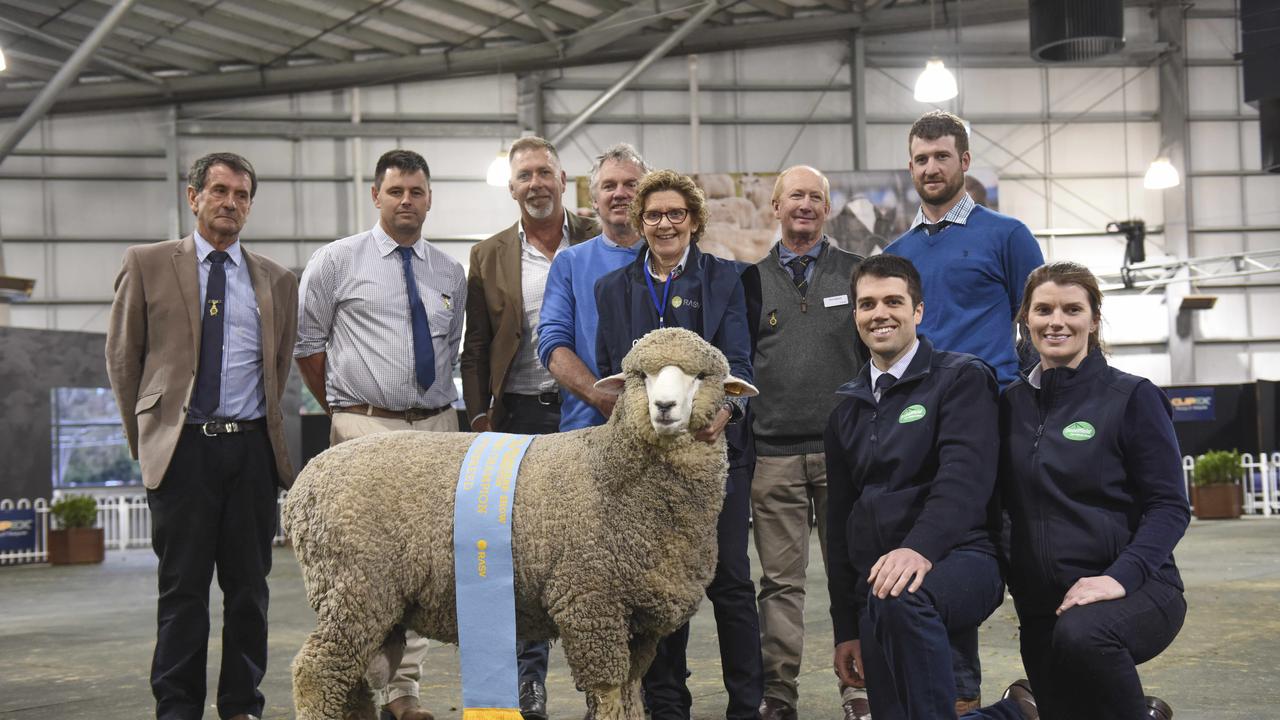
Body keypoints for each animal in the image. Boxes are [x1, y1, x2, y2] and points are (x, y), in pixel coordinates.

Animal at [285, 326, 752, 717]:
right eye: (641, 376)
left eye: (701, 376)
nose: (664, 407)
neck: (609, 472)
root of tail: (305, 483)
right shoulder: (589, 600)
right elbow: (608, 693)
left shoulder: (638, 619)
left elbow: (630, 693)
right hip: (357, 586)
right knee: (316, 673)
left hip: (371, 602)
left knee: (352, 683)